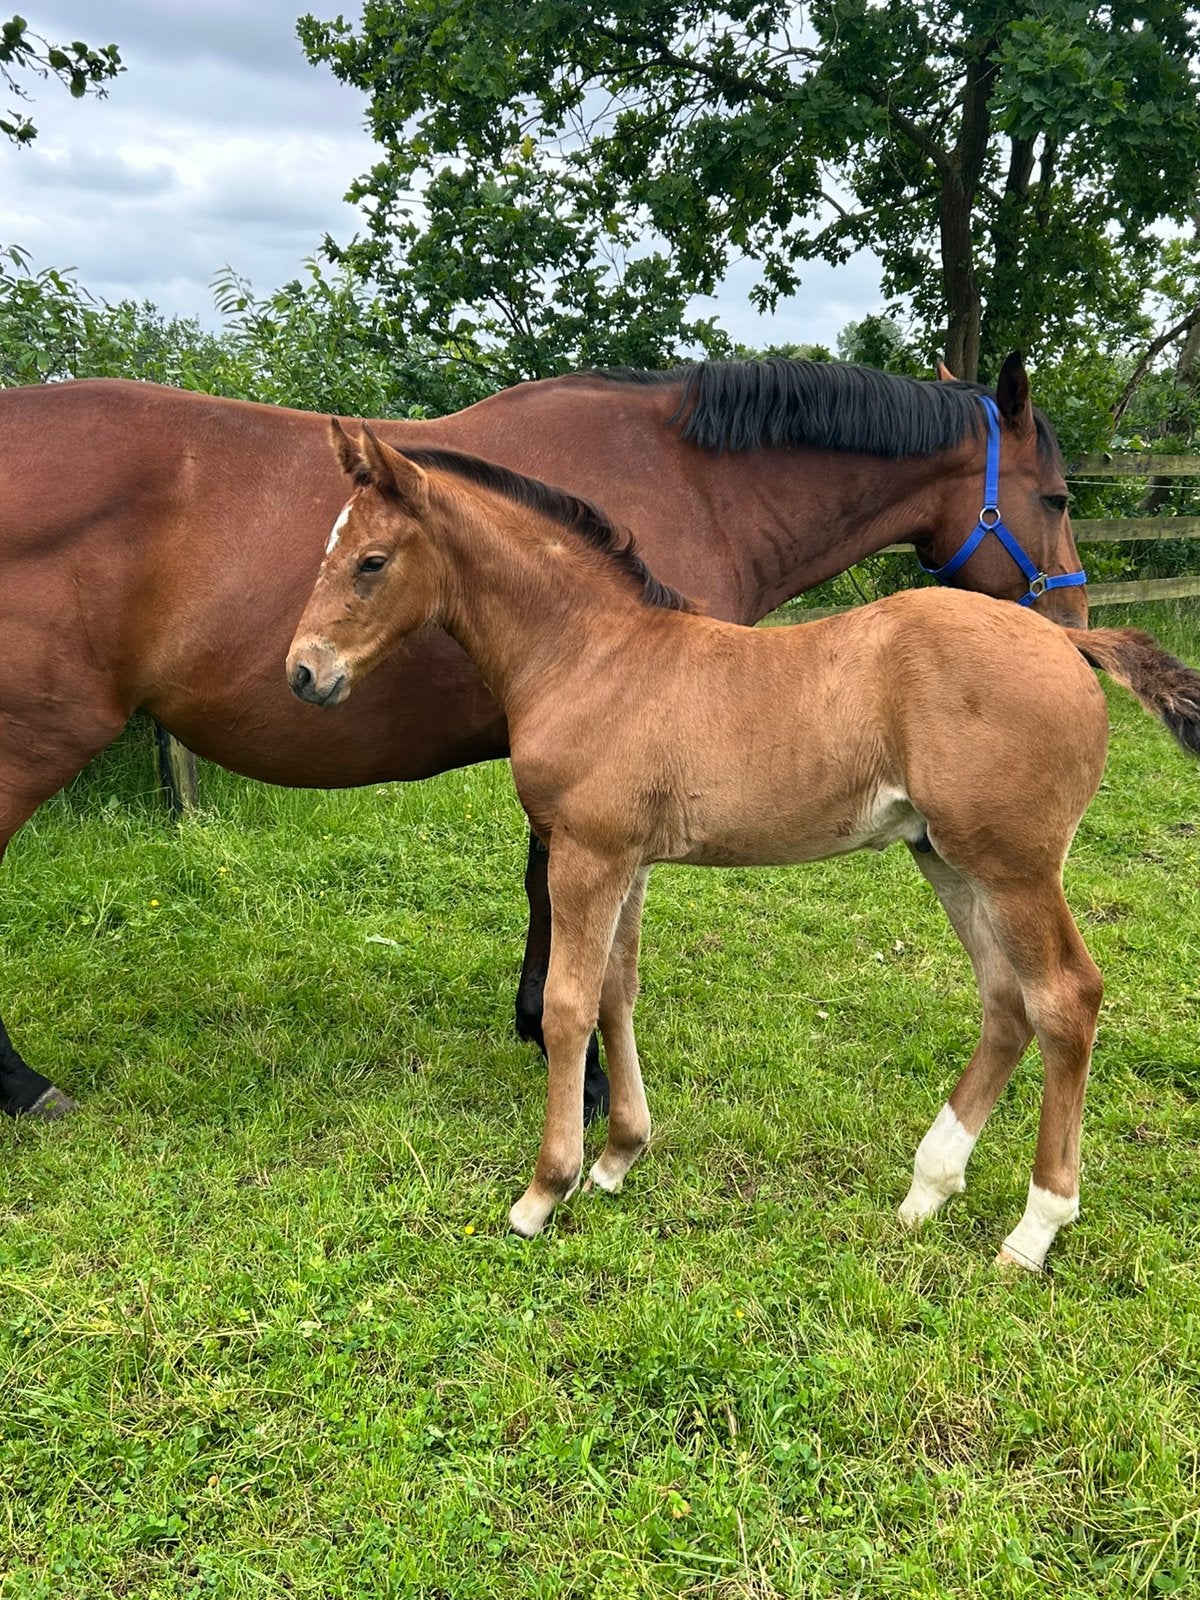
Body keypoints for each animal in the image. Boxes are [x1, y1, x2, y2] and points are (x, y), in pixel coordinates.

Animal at [0, 353, 1086, 1123]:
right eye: (1061, 498)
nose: (1069, 628)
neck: (689, 482)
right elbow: (566, 915)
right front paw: (587, 1072)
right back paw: (25, 1086)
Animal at [287, 422, 1199, 1270]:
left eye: (370, 561)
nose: (303, 672)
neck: (591, 653)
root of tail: (1067, 640)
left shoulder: (586, 855)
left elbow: (567, 1006)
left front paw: (545, 1191)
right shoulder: (627, 861)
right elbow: (618, 991)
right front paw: (619, 1158)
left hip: (1015, 867)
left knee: (1065, 999)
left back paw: (1035, 1227)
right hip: (946, 857)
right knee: (1006, 1001)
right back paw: (926, 1190)